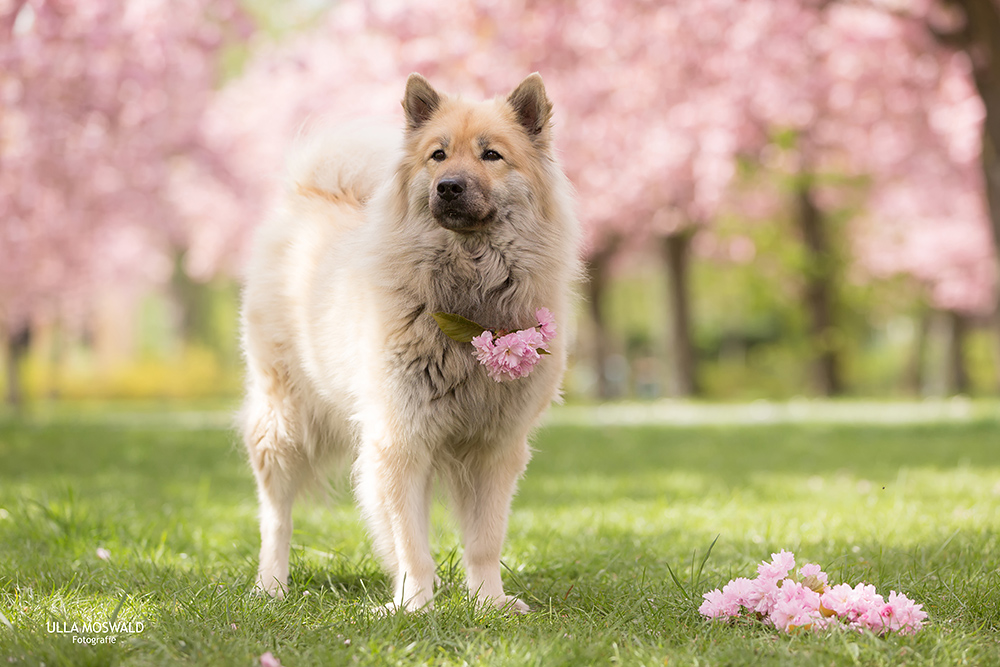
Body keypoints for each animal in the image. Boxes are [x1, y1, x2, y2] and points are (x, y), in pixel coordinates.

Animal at [238, 74, 580, 616]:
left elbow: (485, 541)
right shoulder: (401, 441)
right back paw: (270, 586)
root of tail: (313, 195)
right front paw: (415, 606)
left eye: (491, 155)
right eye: (437, 155)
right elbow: (410, 541)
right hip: (284, 424)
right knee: (276, 517)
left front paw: (489, 603)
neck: (467, 304)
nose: (449, 187)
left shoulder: (495, 448)